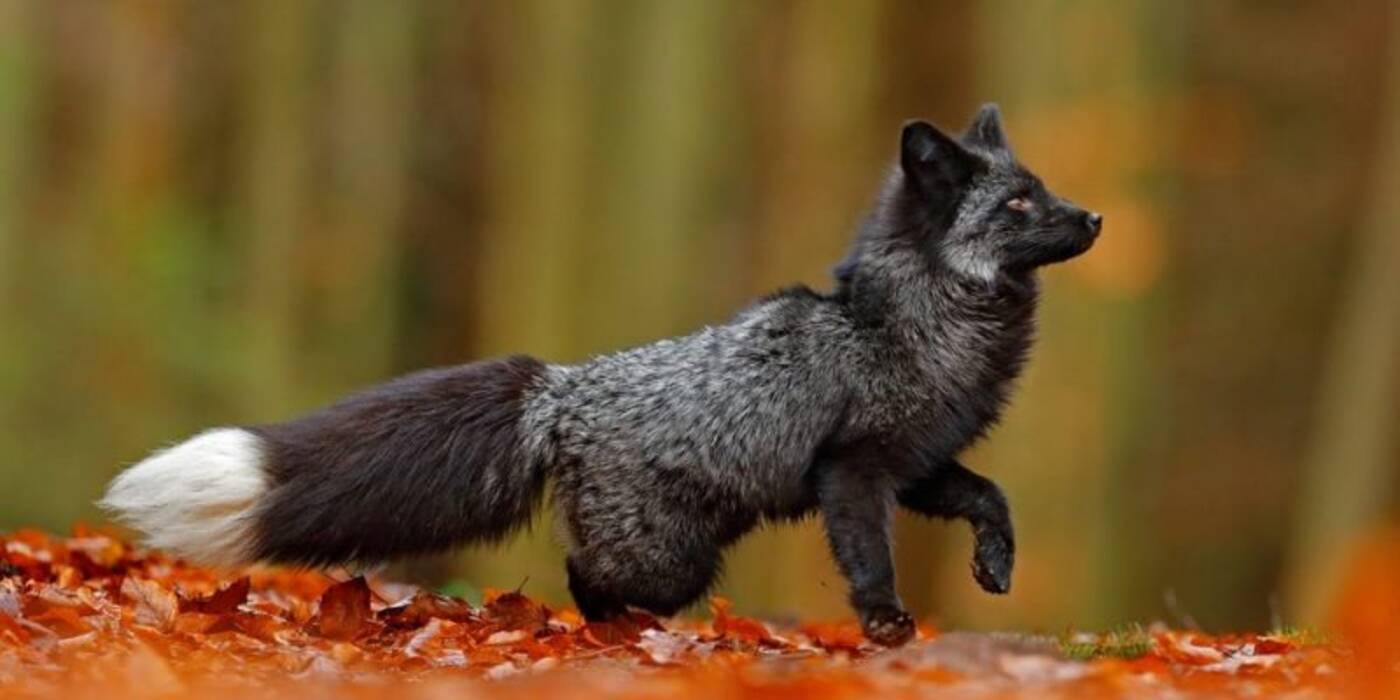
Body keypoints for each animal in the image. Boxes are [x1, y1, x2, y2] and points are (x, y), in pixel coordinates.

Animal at [102, 104, 1100, 647]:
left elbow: (991, 497)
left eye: (1042, 191)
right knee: (586, 578)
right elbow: (867, 559)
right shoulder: (853, 472)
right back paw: (617, 638)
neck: (918, 323)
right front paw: (887, 625)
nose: (1093, 217)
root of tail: (561, 389)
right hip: (668, 555)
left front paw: (995, 567)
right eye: (1019, 204)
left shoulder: (919, 463)